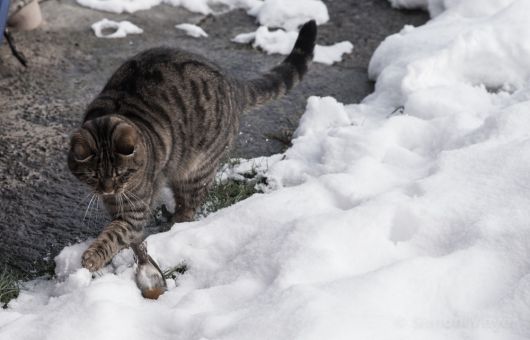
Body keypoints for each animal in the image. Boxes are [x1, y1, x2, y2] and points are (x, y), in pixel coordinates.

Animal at [69, 20, 318, 270]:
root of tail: (232, 83)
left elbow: (116, 233)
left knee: (189, 206)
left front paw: (93, 257)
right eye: (93, 176)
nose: (108, 190)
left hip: (195, 169)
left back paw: (175, 225)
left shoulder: (134, 210)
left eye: (122, 174)